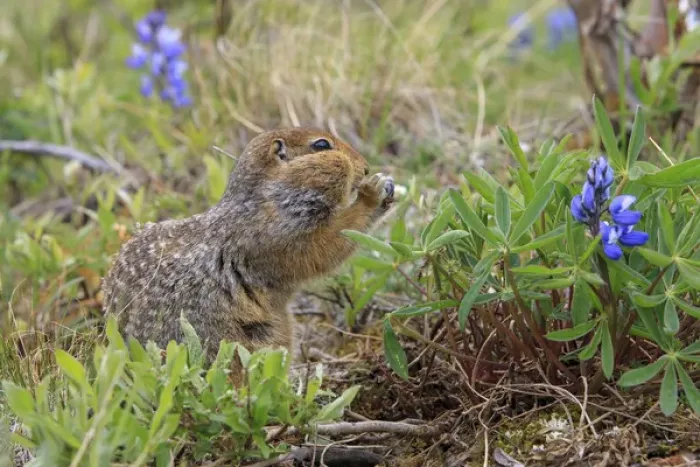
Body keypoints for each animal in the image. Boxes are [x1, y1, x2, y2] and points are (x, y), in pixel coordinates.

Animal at [101, 127, 394, 370]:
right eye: (321, 144)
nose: (366, 168)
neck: (266, 198)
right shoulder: (275, 234)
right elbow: (324, 246)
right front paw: (374, 192)